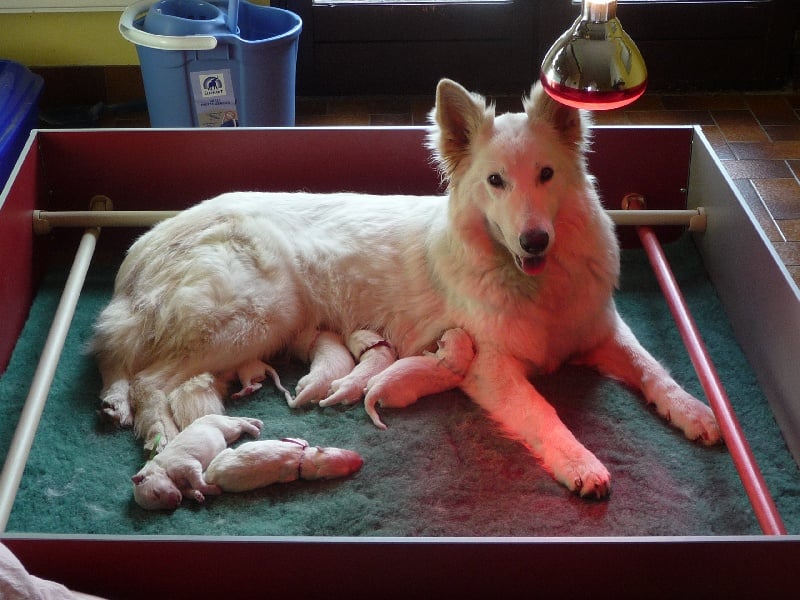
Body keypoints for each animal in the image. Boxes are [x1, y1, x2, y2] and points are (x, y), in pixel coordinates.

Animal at [92, 78, 720, 496]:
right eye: (496, 181)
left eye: (546, 175)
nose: (535, 241)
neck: (532, 284)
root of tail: (153, 238)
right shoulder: (491, 367)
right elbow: (544, 412)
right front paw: (581, 464)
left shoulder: (603, 330)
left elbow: (654, 369)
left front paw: (695, 411)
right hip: (254, 317)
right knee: (148, 379)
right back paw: (161, 438)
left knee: (127, 368)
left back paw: (124, 409)